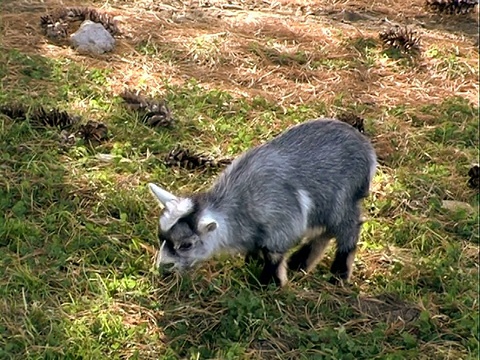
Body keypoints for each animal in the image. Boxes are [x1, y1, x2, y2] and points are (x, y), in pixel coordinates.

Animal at [148, 118, 376, 286]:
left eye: (186, 244)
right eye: (161, 237)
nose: (163, 267)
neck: (241, 206)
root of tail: (366, 149)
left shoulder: (282, 225)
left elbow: (273, 256)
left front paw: (270, 282)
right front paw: (252, 261)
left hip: (344, 200)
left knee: (348, 229)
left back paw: (339, 274)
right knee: (325, 231)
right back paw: (299, 262)